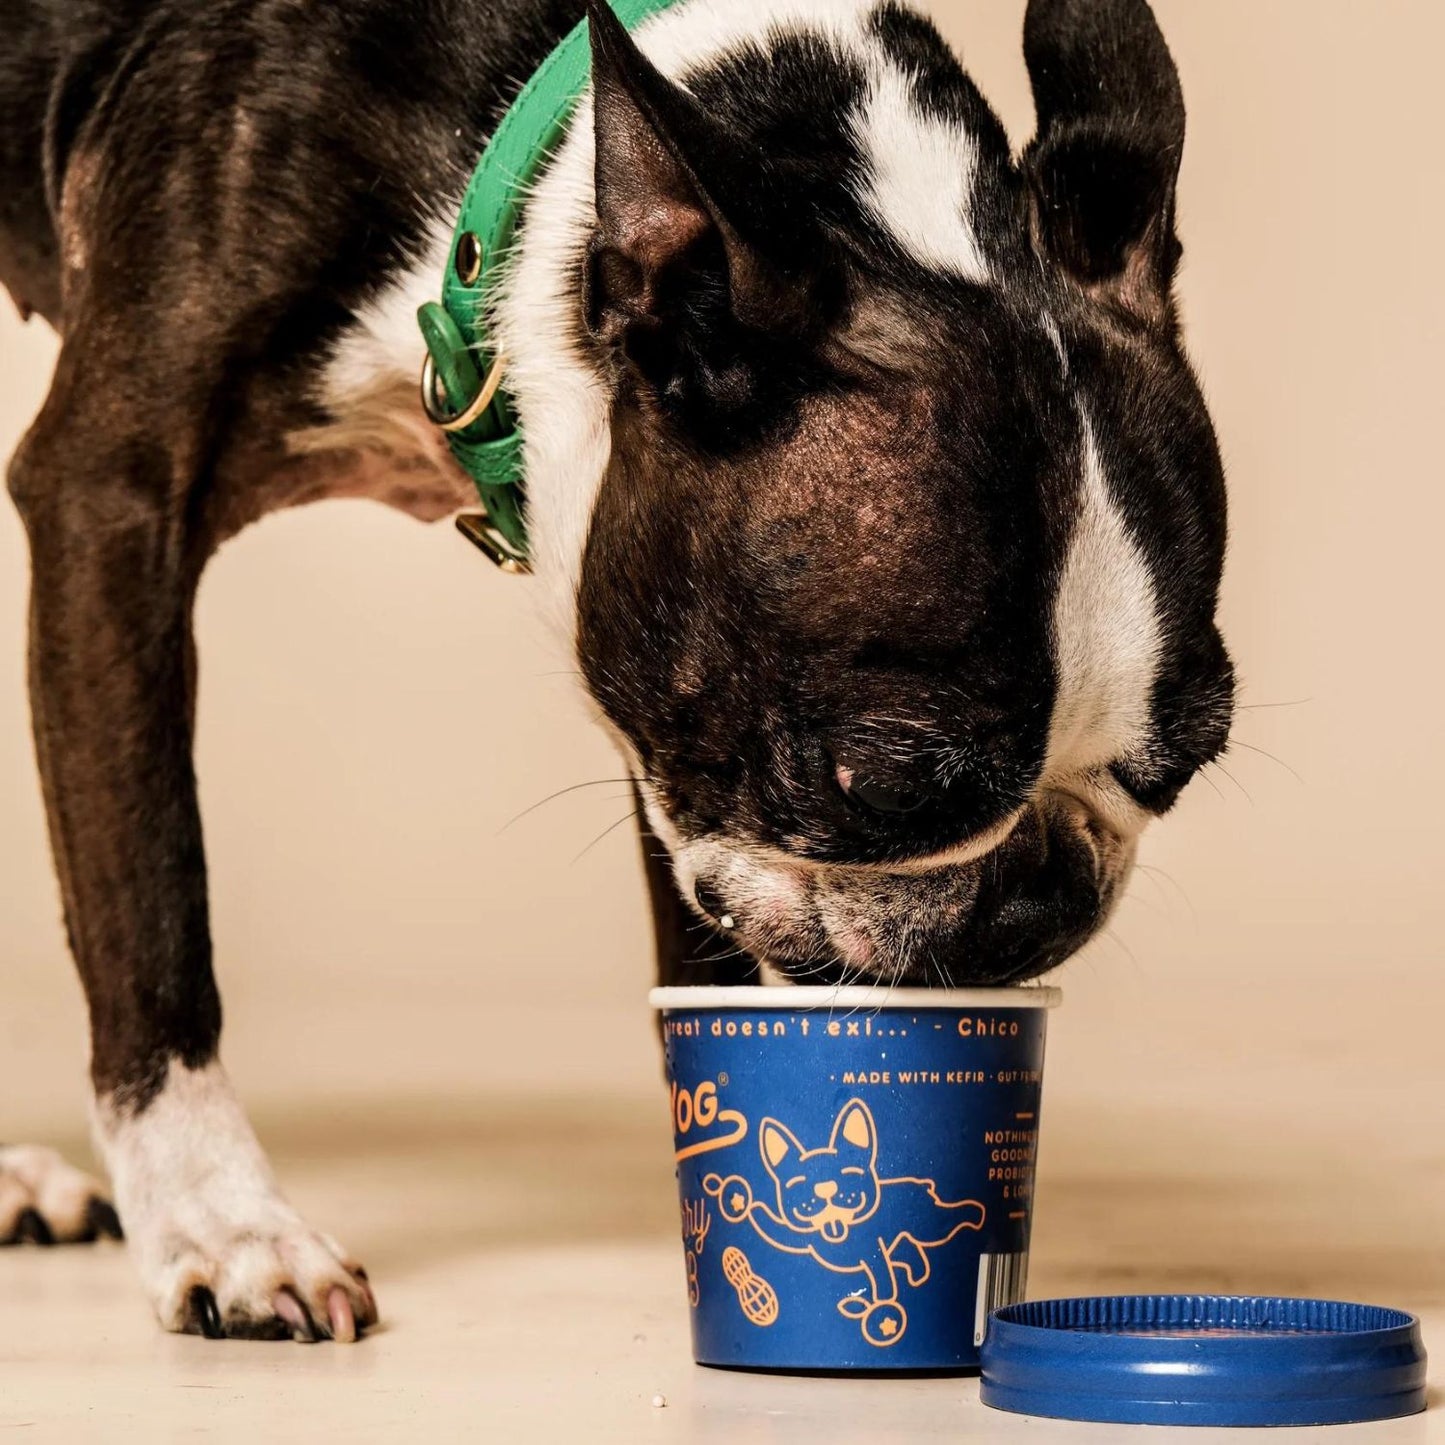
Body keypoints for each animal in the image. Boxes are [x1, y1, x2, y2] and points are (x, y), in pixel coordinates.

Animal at [0, 0, 1236, 1335]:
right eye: (884, 783)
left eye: (1182, 768)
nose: (1037, 893)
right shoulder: (110, 500)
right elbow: (150, 901)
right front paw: (224, 1222)